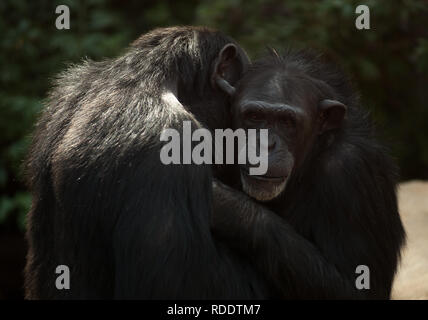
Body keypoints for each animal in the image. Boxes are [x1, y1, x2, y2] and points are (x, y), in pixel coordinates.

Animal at [212, 48, 406, 298]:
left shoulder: (352, 170)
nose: (266, 144)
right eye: (254, 116)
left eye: (287, 121)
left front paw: (226, 204)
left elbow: (355, 287)